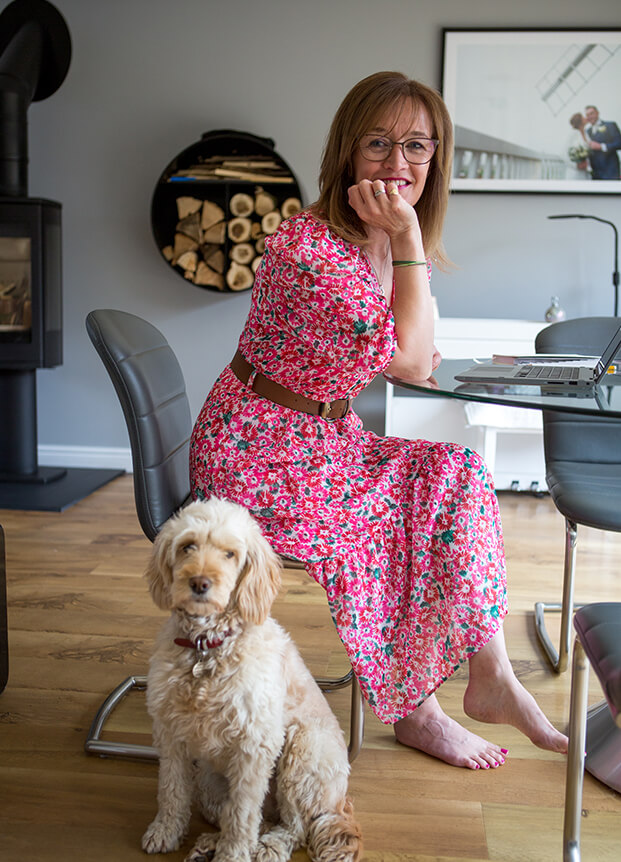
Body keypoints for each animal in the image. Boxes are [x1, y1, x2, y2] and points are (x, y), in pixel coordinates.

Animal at [141, 496, 360, 860]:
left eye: (230, 553)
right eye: (187, 546)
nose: (199, 583)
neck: (207, 647)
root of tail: (337, 801)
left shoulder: (254, 745)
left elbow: (242, 812)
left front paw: (233, 855)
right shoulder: (171, 734)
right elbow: (171, 790)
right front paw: (165, 831)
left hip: (301, 755)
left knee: (293, 826)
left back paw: (267, 846)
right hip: (209, 782)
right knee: (253, 816)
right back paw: (209, 843)